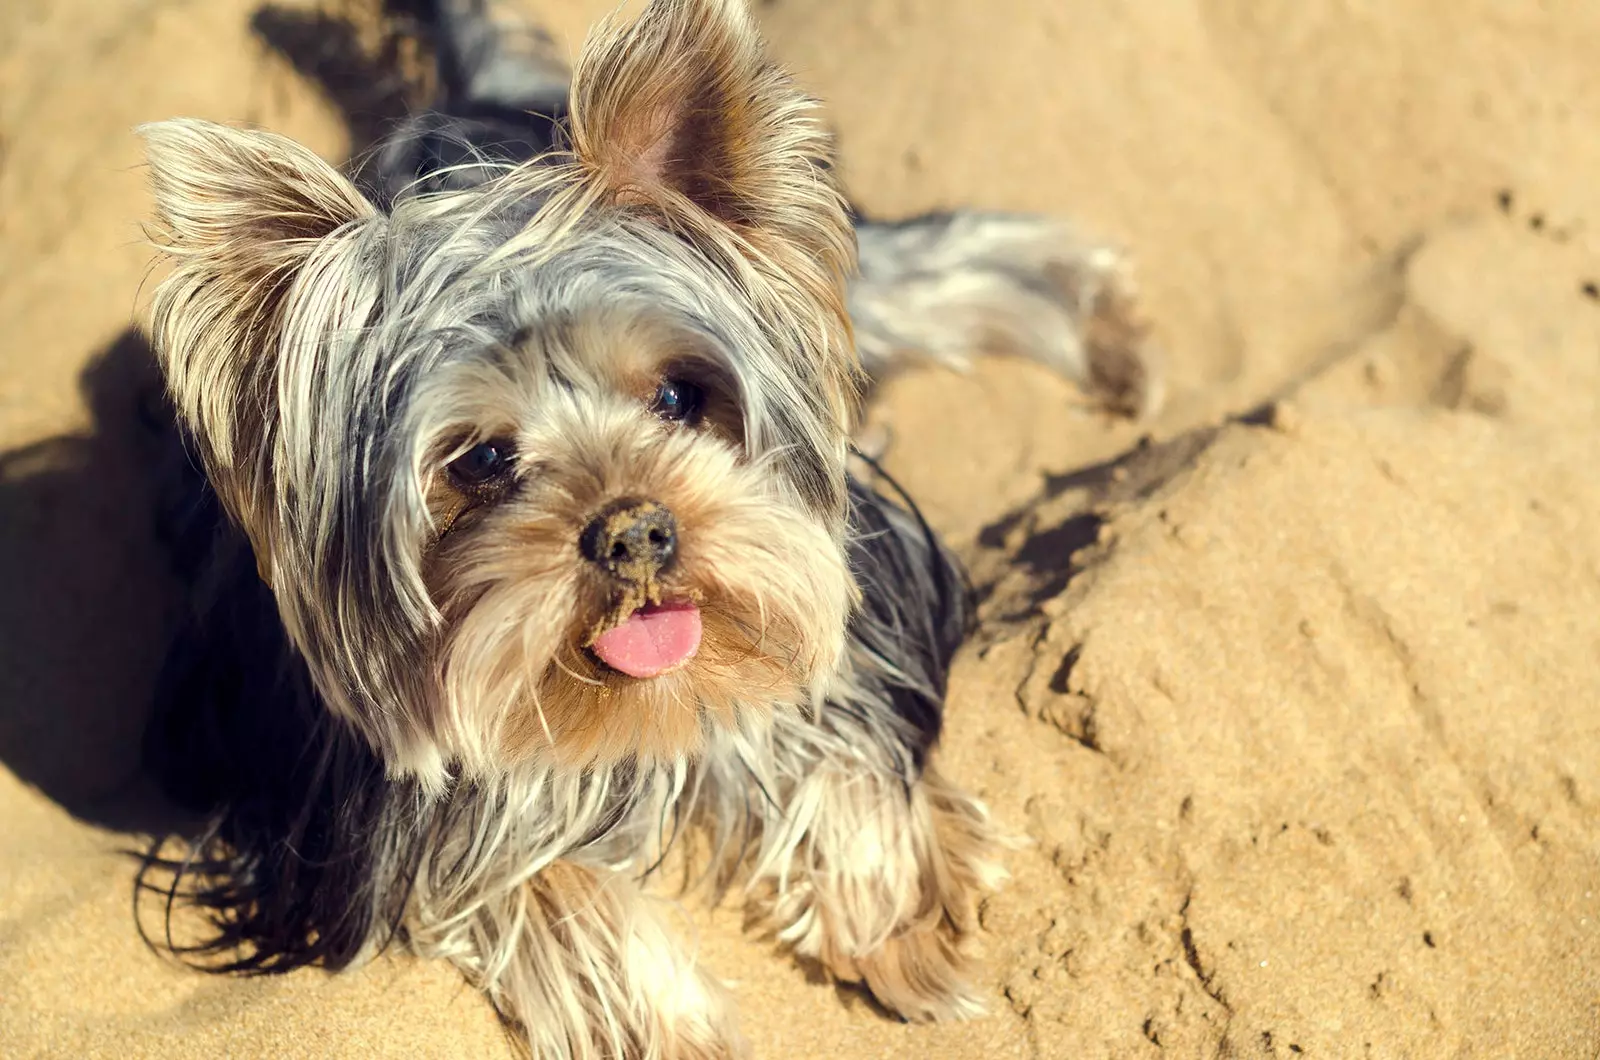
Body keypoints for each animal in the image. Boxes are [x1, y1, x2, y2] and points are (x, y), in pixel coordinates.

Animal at [137, 0, 1158, 1056]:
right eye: (481, 461)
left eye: (677, 396)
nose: (632, 534)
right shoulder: (351, 832)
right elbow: (526, 880)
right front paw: (678, 1022)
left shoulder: (861, 600)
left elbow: (840, 732)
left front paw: (895, 923)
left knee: (941, 264)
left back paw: (1112, 337)